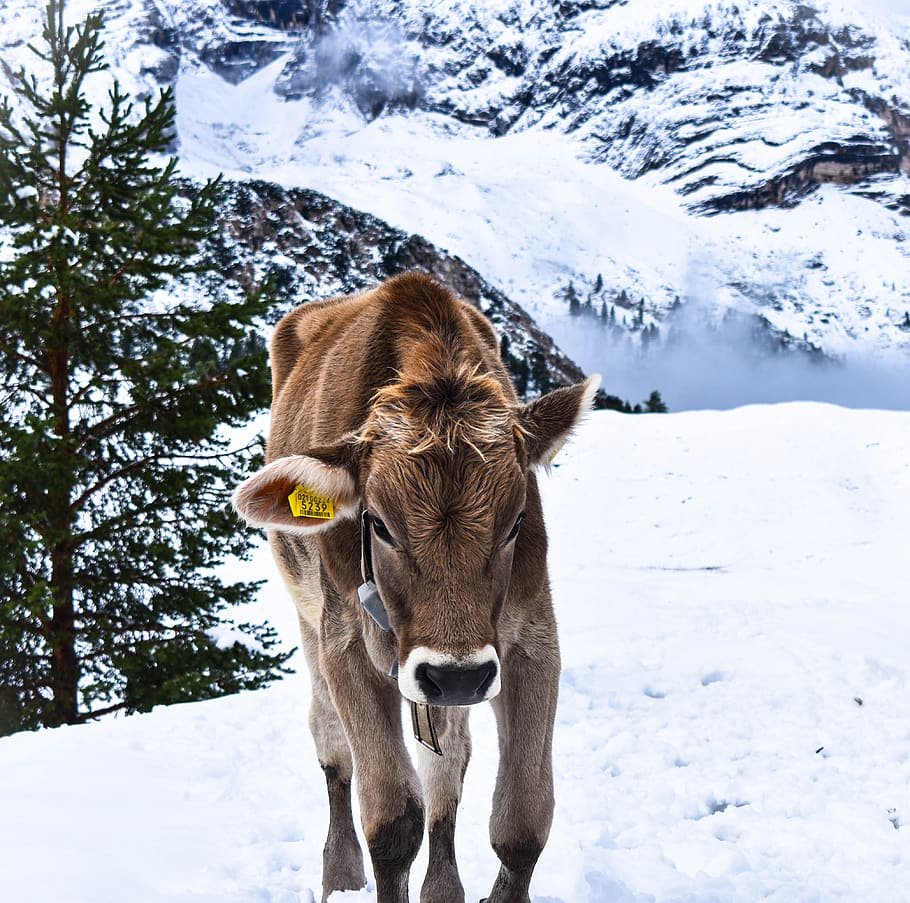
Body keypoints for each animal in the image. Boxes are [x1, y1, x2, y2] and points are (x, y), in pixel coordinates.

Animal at [232, 272, 599, 903]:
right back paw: (339, 874)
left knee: (446, 770)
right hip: (312, 621)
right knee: (332, 746)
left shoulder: (528, 640)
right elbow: (391, 820)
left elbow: (522, 820)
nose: (456, 676)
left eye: (515, 522)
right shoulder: (346, 642)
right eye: (378, 523)